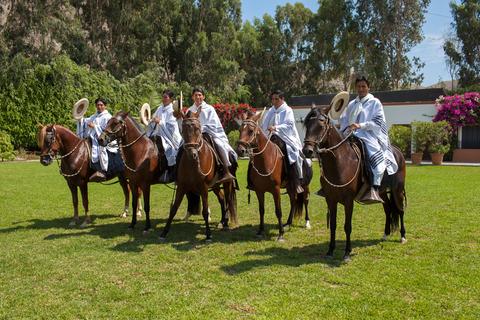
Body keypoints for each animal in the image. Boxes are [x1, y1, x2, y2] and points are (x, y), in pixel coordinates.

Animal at [159, 107, 238, 240]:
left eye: (198, 128)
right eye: (183, 129)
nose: (192, 154)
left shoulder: (203, 187)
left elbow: (205, 211)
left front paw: (208, 234)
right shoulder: (182, 186)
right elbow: (174, 208)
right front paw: (164, 232)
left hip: (226, 183)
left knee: (227, 200)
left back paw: (226, 223)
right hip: (215, 185)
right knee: (222, 199)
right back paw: (222, 221)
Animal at [236, 111, 312, 241]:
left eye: (251, 130)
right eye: (240, 129)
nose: (240, 150)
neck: (266, 160)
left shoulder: (275, 190)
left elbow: (278, 211)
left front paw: (281, 234)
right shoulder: (259, 191)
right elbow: (261, 210)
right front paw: (260, 230)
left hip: (304, 185)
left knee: (305, 200)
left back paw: (307, 223)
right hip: (290, 186)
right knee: (293, 200)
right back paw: (288, 223)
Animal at [302, 106, 406, 262]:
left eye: (321, 125)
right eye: (307, 124)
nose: (307, 151)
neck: (341, 162)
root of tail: (398, 151)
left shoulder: (348, 200)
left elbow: (347, 226)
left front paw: (347, 253)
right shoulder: (330, 199)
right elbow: (333, 225)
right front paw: (330, 251)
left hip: (397, 190)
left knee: (400, 210)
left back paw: (403, 237)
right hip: (381, 192)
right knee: (388, 209)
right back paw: (385, 234)